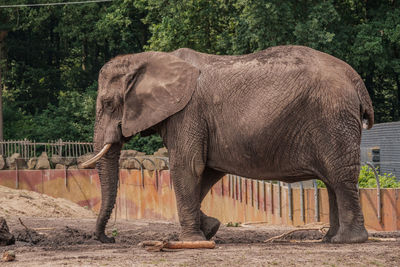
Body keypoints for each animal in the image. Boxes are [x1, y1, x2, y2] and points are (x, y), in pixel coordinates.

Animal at [83, 45, 374, 245]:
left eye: (108, 103)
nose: (109, 238)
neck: (148, 58)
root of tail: (356, 81)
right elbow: (206, 172)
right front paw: (210, 228)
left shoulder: (188, 113)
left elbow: (187, 166)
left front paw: (192, 241)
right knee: (332, 180)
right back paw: (329, 239)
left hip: (333, 117)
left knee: (340, 177)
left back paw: (346, 241)